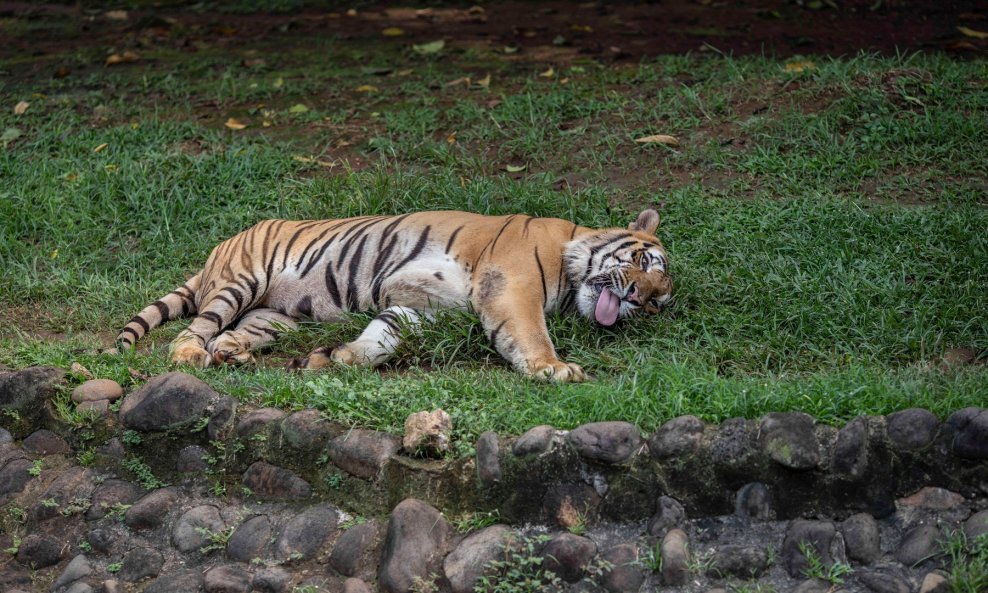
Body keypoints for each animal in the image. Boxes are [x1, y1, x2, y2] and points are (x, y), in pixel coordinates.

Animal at [114, 210, 672, 382]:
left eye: (655, 305)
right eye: (644, 265)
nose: (635, 300)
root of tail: (218, 249)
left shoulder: (424, 308)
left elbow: (382, 337)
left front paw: (333, 360)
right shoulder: (511, 285)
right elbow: (530, 333)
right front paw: (555, 368)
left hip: (277, 315)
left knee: (234, 333)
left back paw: (231, 354)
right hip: (241, 281)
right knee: (195, 329)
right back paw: (190, 354)